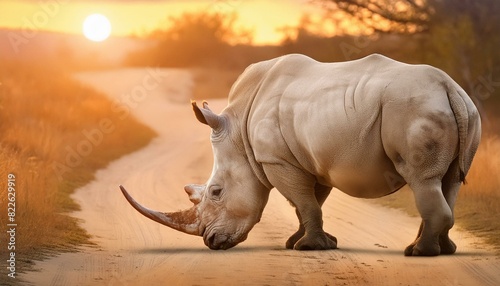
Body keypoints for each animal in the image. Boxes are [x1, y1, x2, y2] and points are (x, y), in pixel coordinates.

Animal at [120, 54, 480, 256]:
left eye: (216, 192)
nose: (210, 241)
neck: (239, 132)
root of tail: (449, 88)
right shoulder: (311, 159)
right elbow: (308, 203)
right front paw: (302, 242)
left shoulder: (275, 159)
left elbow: (304, 202)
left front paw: (308, 247)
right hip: (464, 111)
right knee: (449, 181)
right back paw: (442, 250)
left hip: (413, 110)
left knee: (423, 179)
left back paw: (419, 254)